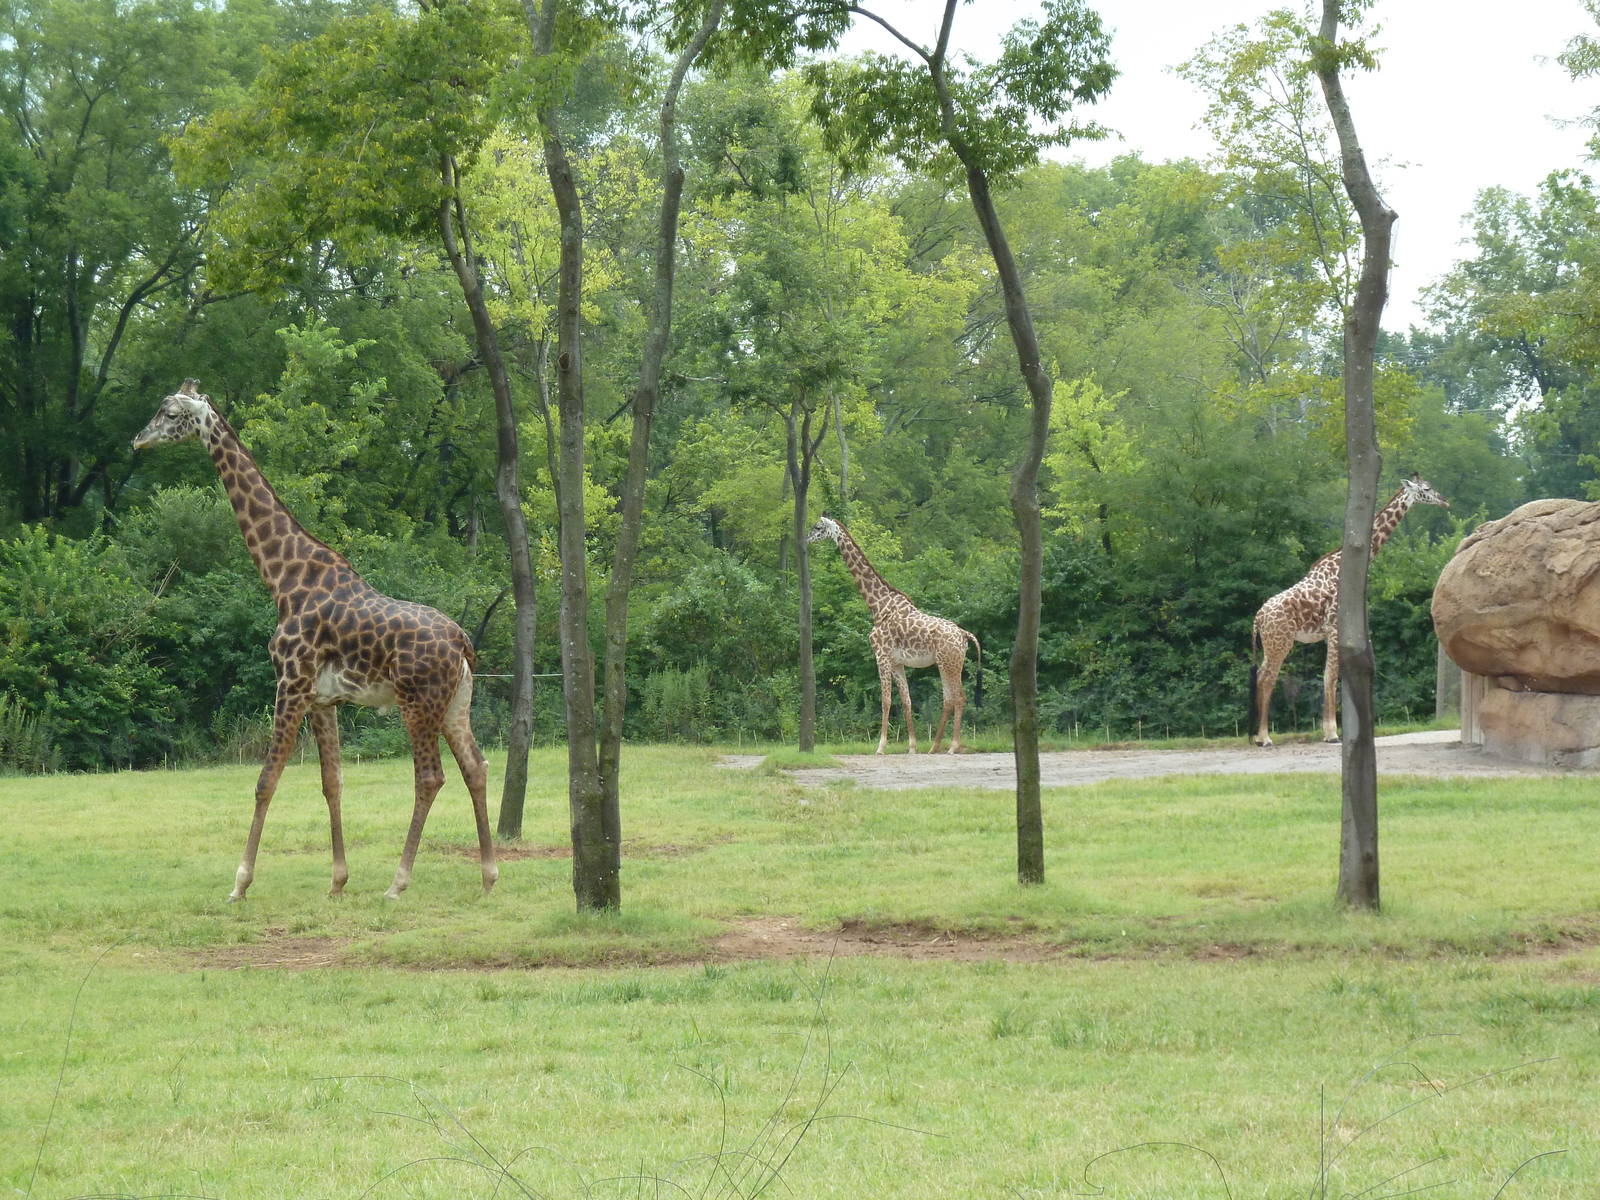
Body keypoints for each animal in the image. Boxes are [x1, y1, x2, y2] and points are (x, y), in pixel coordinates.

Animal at [132, 380, 497, 900]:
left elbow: (266, 780)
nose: (138, 440)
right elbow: (332, 781)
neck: (284, 580)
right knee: (476, 768)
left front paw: (240, 884)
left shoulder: (290, 683)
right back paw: (488, 875)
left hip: (418, 703)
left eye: (169, 413)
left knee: (430, 777)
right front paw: (337, 881)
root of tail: (463, 641)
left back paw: (397, 883)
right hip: (456, 704)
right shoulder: (323, 700)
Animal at [806, 516, 981, 754]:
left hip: (950, 663)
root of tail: (964, 635)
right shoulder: (897, 662)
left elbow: (886, 701)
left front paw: (880, 747)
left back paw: (952, 746)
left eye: (818, 527)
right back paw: (933, 747)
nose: (806, 539)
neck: (878, 606)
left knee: (959, 698)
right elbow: (907, 701)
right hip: (947, 663)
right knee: (949, 699)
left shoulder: (881, 656)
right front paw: (912, 747)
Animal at [1251, 474, 1449, 747]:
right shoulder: (1334, 628)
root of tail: (1258, 618)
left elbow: (1331, 675)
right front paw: (1332, 734)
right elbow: (1331, 675)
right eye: (1427, 488)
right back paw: (1265, 737)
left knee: (1261, 675)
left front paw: (1331, 731)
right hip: (1281, 641)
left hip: (1271, 643)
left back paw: (1259, 737)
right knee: (1268, 677)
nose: (1445, 501)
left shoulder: (1334, 632)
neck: (1341, 567)